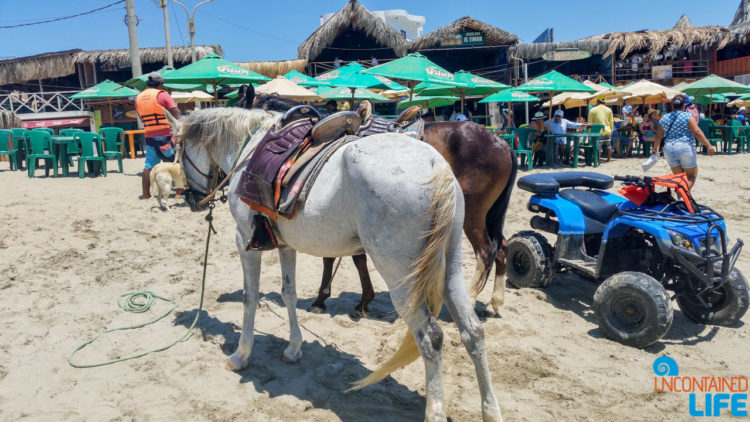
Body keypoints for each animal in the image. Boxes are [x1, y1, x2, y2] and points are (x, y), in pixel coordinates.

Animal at [178, 108, 506, 422]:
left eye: (178, 152)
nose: (191, 199)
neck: (249, 148)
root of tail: (435, 164)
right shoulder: (285, 245)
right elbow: (289, 294)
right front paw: (293, 348)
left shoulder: (244, 239)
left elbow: (250, 297)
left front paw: (241, 355)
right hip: (450, 267)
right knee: (473, 331)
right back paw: (491, 409)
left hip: (402, 278)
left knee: (431, 338)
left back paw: (435, 412)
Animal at [244, 91, 520, 316]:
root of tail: (501, 142)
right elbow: (352, 258)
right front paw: (361, 301)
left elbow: (337, 258)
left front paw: (326, 300)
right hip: (488, 215)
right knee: (502, 247)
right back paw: (494, 303)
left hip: (472, 215)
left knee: (486, 251)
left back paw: (471, 300)